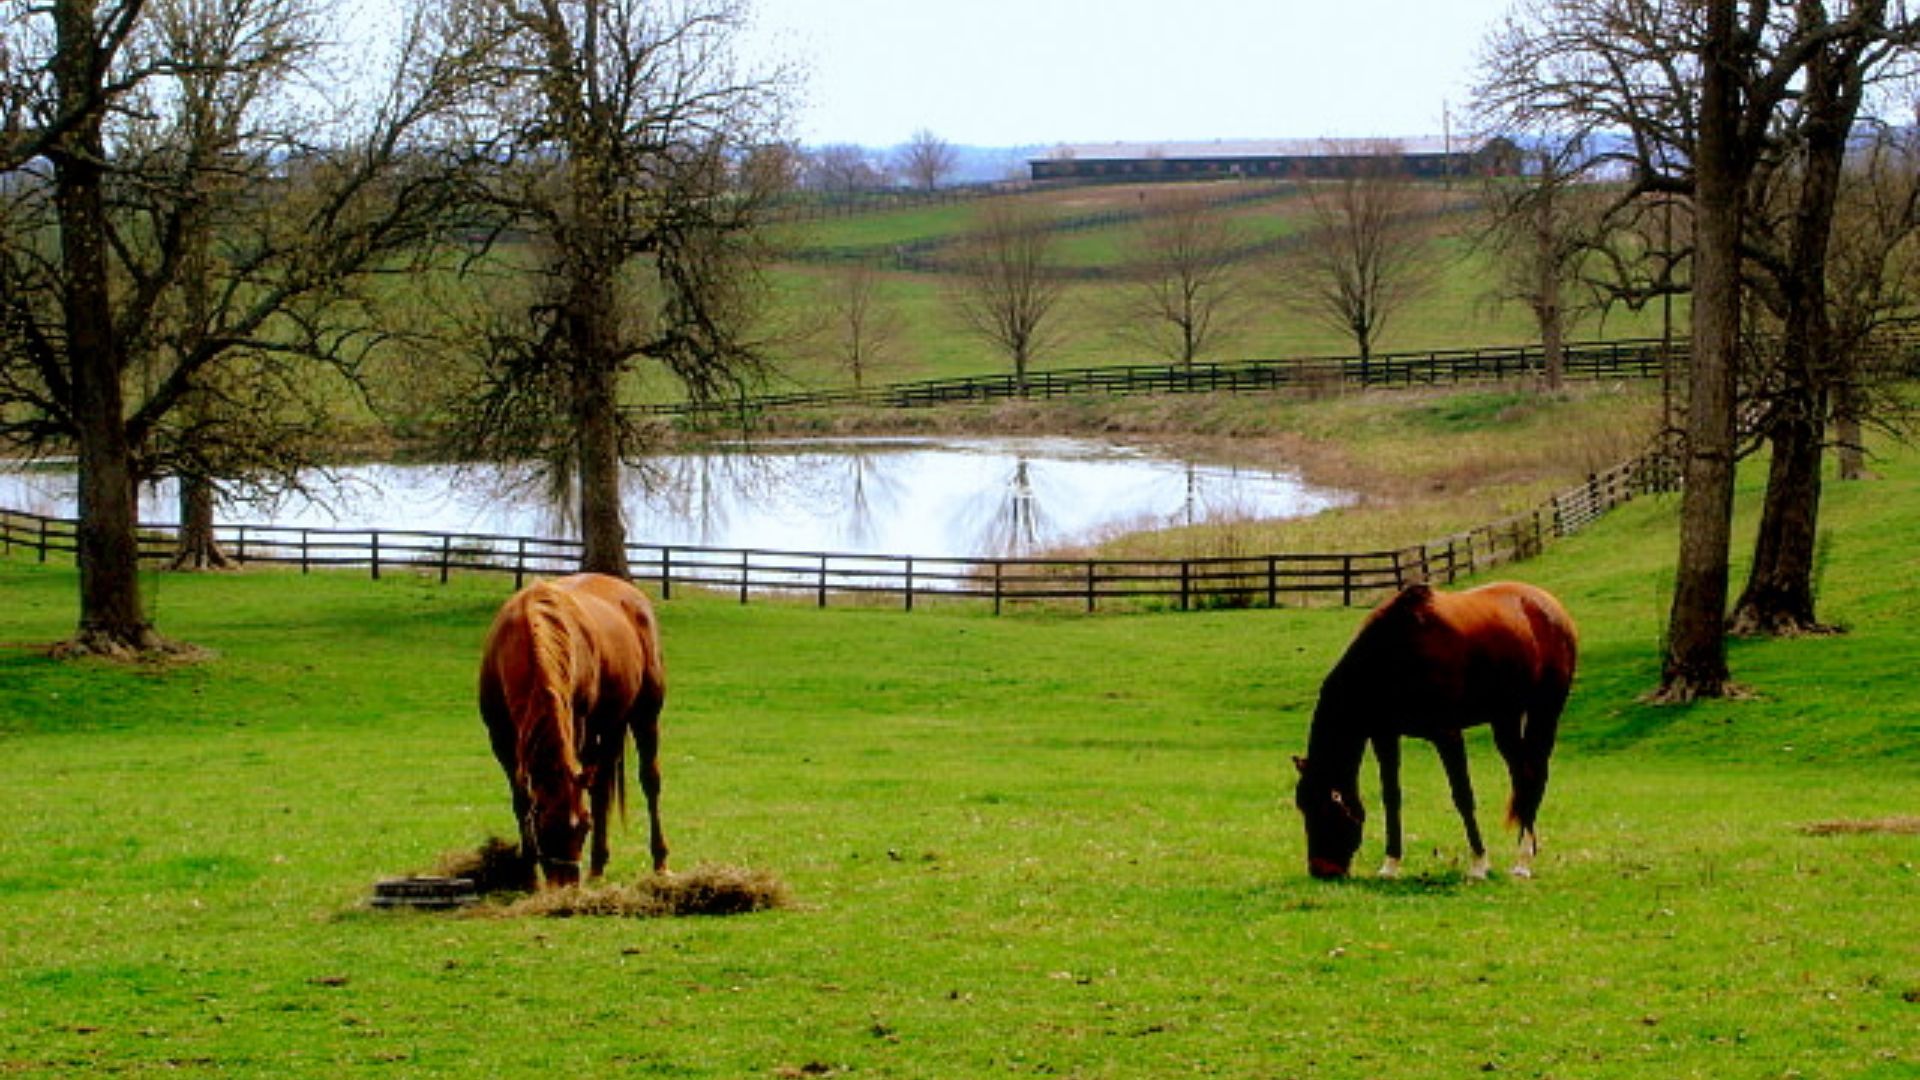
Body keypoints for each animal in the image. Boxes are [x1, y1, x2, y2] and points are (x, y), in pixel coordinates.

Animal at [479, 573, 669, 889]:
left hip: (644, 715)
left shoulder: (580, 727)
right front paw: (530, 876)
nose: (566, 885)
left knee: (648, 782)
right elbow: (521, 800)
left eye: (584, 826)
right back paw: (598, 864)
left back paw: (658, 862)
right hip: (612, 725)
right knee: (602, 786)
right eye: (542, 826)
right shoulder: (501, 738)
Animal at [1291, 581, 1576, 881]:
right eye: (1302, 806)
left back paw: (1523, 860)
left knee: (1534, 776)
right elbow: (1391, 797)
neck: (1394, 653)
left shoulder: (1447, 734)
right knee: (1522, 777)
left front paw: (1478, 863)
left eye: (1326, 808)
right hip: (1504, 719)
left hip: (1545, 712)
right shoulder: (1385, 736)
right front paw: (1390, 864)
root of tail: (1549, 604)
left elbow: (1463, 796)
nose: (1321, 870)